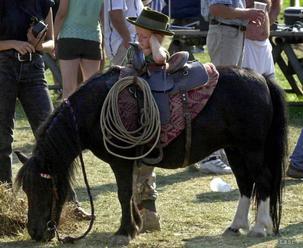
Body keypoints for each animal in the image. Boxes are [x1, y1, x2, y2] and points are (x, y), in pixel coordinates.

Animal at [15, 66, 288, 244]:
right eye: (26, 190)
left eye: (43, 188)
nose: (35, 233)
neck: (93, 109)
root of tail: (262, 79)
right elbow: (133, 193)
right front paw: (136, 226)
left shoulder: (121, 161)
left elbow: (124, 193)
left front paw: (124, 232)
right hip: (235, 149)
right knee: (245, 183)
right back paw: (236, 225)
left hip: (252, 149)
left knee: (262, 180)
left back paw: (259, 228)